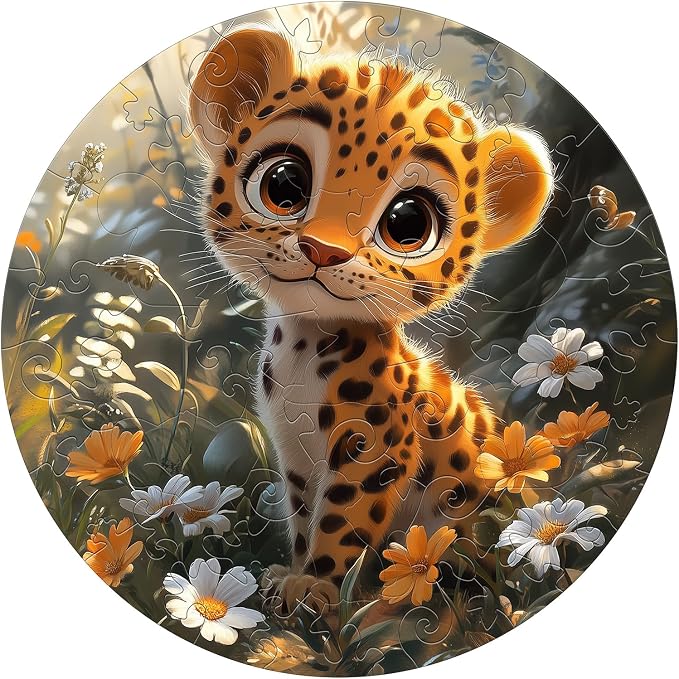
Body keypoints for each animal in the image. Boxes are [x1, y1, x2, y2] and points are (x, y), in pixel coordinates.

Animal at [188, 25, 553, 611]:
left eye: (408, 223)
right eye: (284, 184)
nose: (323, 250)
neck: (300, 347)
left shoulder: (376, 447)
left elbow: (343, 522)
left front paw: (316, 587)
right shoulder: (295, 455)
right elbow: (303, 518)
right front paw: (289, 575)